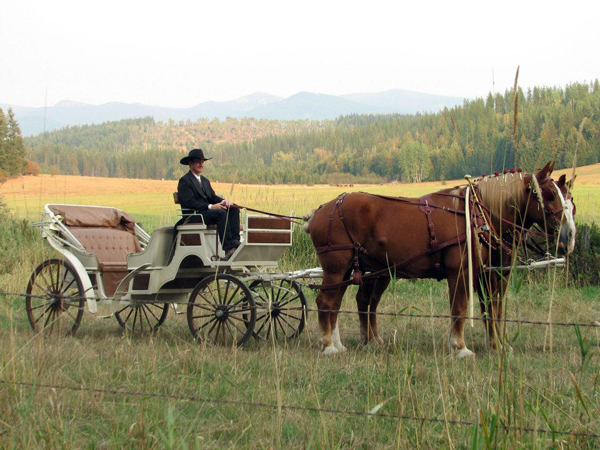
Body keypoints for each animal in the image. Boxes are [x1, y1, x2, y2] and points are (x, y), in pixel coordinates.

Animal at [304, 161, 576, 356]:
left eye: (571, 199)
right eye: (550, 195)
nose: (569, 236)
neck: (479, 215)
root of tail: (320, 211)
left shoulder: (490, 275)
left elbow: (493, 310)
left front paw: (497, 345)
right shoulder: (461, 272)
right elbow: (460, 308)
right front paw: (460, 347)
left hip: (354, 270)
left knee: (341, 302)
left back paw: (341, 344)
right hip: (337, 268)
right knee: (326, 301)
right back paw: (328, 346)